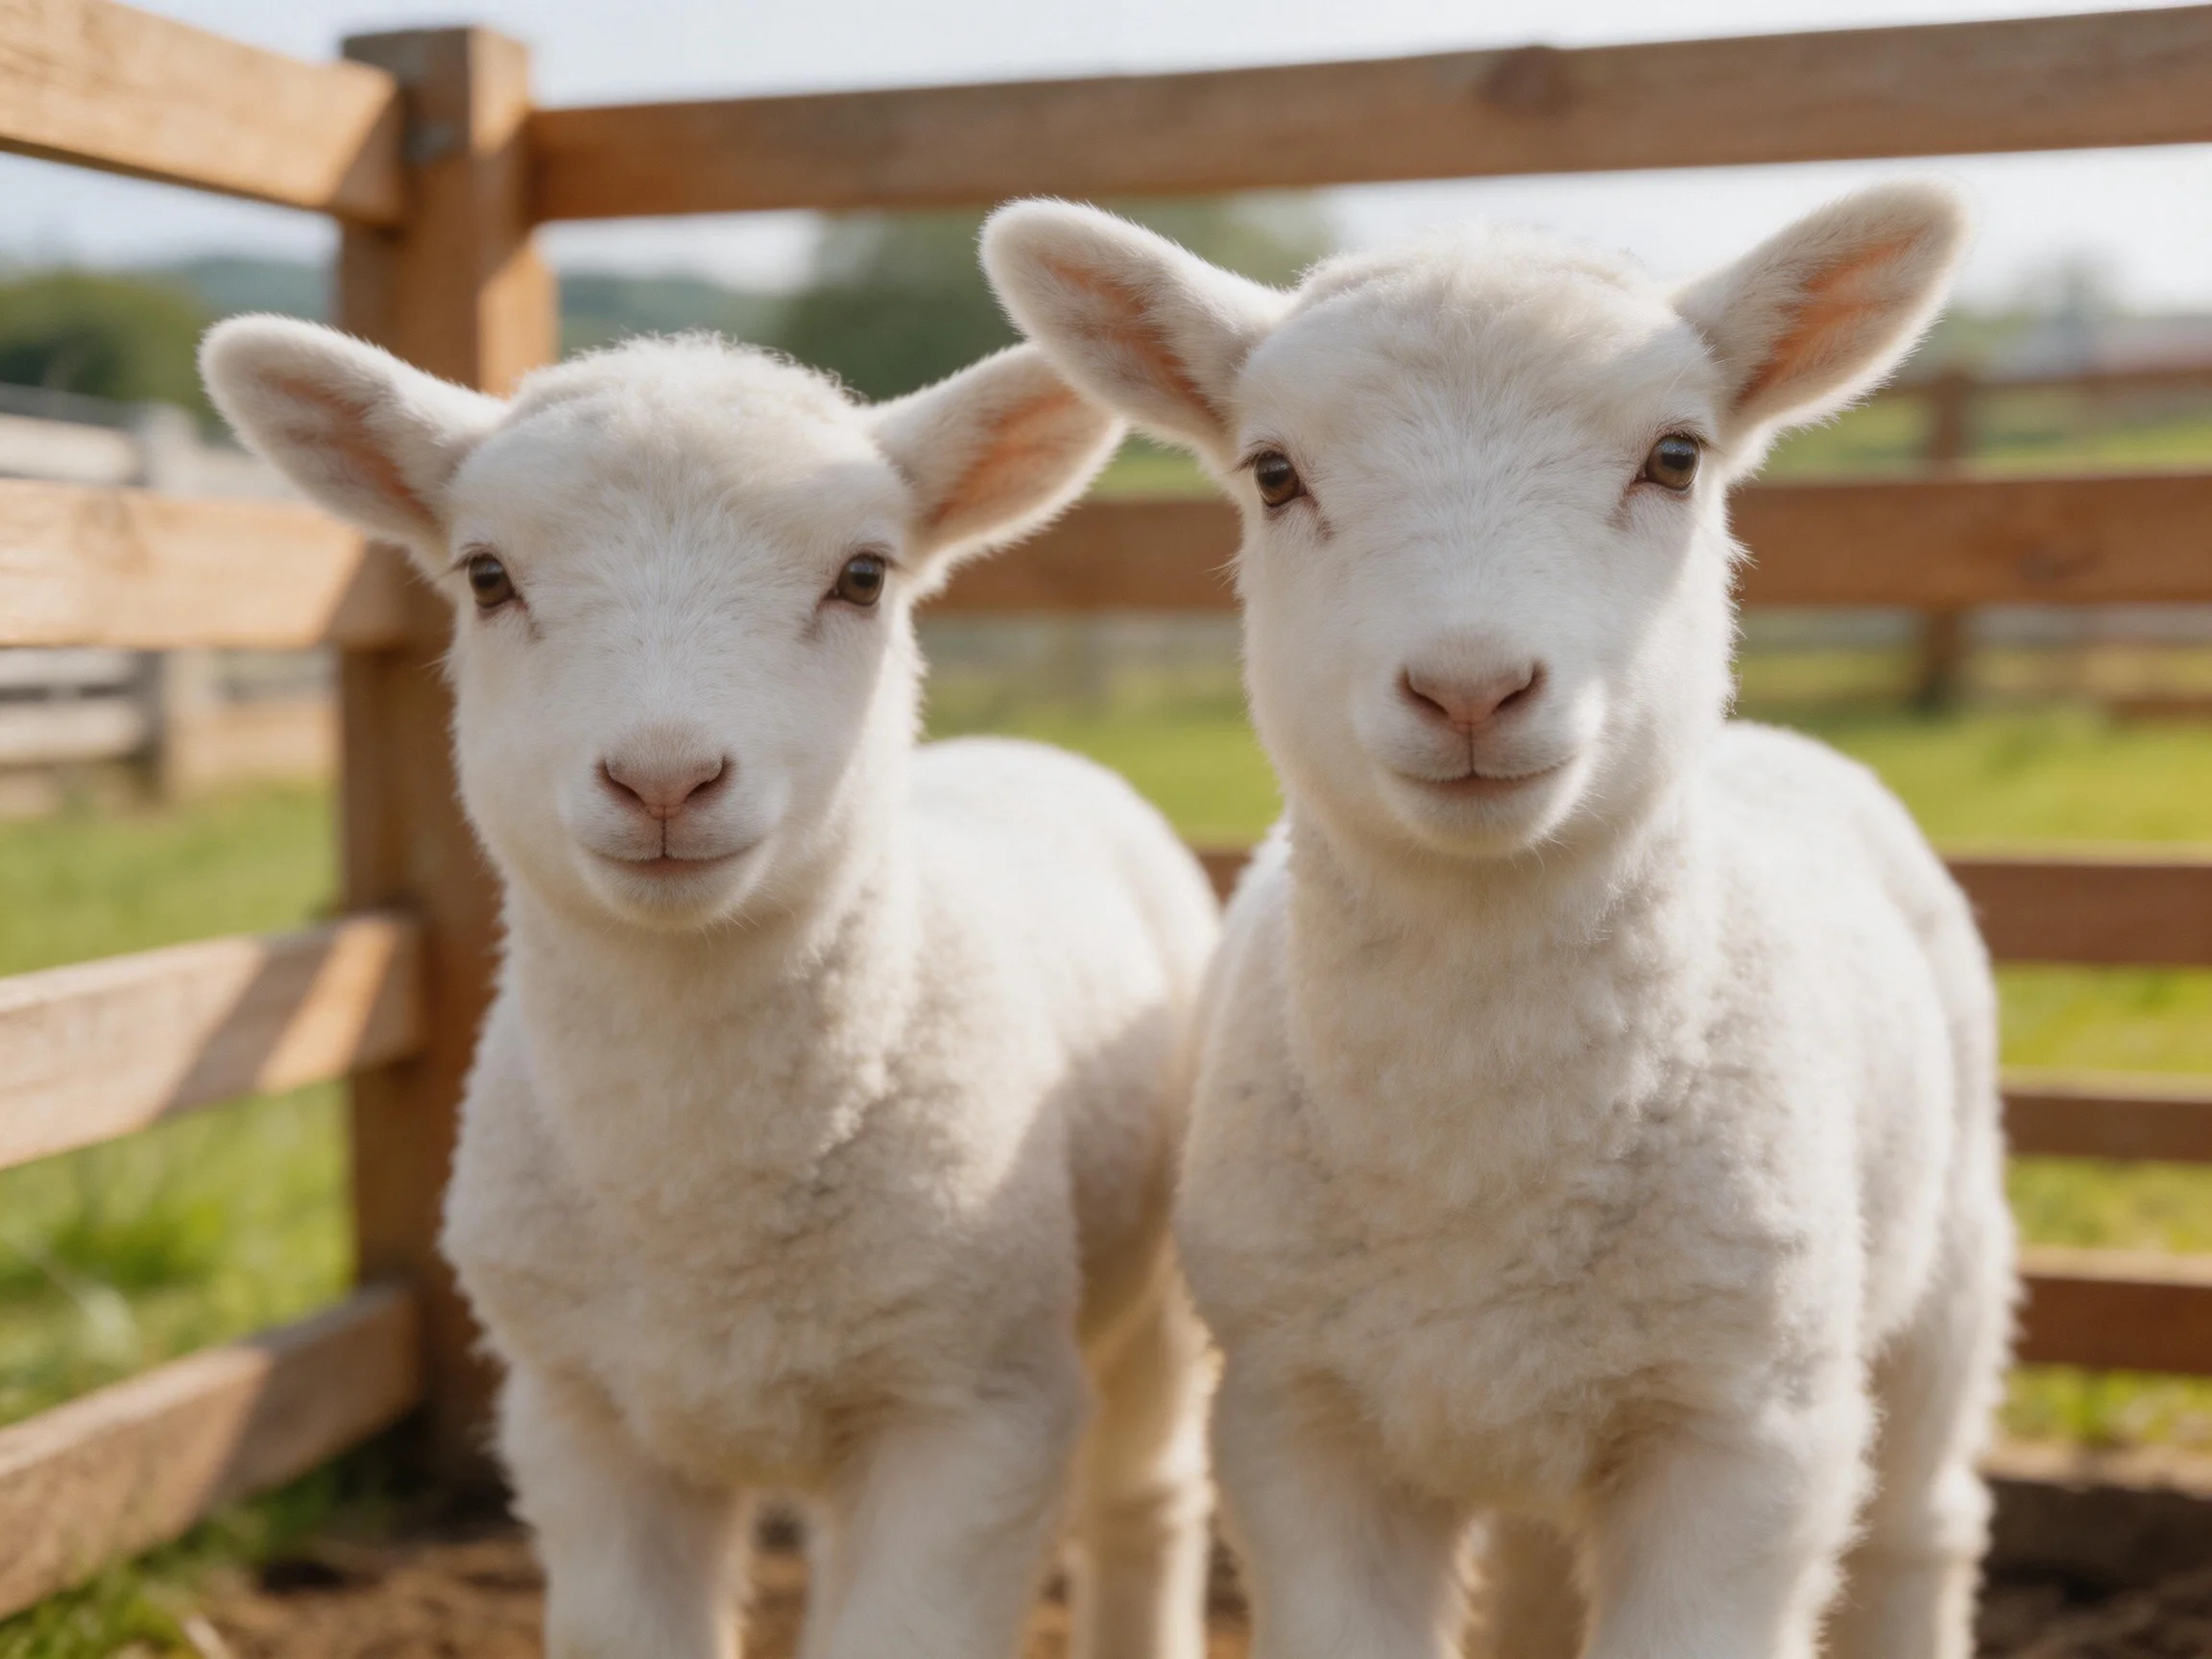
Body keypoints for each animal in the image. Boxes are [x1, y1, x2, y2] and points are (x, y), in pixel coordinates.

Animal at [200, 320, 1221, 1659]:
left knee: (1146, 1500)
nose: (664, 778)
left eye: (863, 576)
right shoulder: (576, 1417)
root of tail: (1028, 753)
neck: (696, 1203)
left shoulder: (977, 1413)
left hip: (1144, 1297)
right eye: (486, 576)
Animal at [984, 186, 2015, 1659]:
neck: (1484, 1176)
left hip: (1950, 1262)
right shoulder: (1297, 1421)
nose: (1469, 689)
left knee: (1925, 1527)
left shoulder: (1748, 1430)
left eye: (1676, 456)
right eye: (1274, 474)